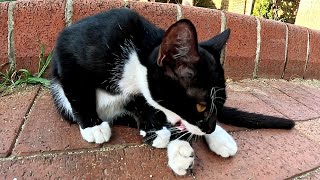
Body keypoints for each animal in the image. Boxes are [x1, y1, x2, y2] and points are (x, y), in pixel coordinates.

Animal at [50, 7, 296, 175]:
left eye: (221, 104)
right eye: (201, 106)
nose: (210, 127)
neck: (135, 58)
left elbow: (149, 106)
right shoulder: (69, 48)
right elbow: (77, 90)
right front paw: (92, 125)